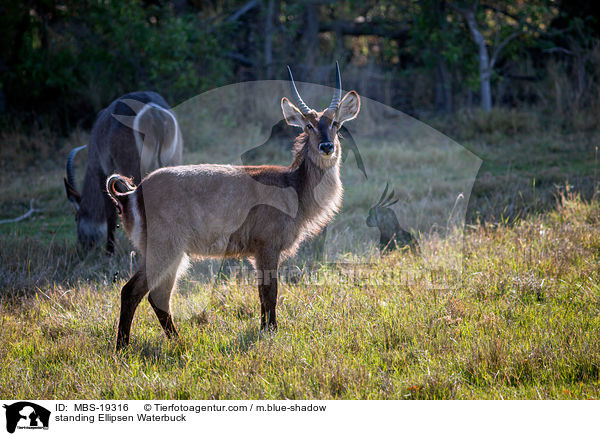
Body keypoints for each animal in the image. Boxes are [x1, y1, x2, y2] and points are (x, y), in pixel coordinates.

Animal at [64, 93, 183, 255]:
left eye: (76, 217)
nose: (82, 247)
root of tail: (152, 110)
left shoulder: (101, 171)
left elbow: (111, 212)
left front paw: (109, 251)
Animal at [108, 63, 360, 350]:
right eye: (308, 126)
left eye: (336, 123)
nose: (327, 146)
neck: (294, 186)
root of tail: (133, 193)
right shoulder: (267, 245)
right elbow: (270, 292)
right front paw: (272, 332)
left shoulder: (258, 252)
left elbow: (261, 293)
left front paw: (264, 329)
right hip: (164, 247)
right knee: (133, 290)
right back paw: (123, 346)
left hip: (172, 251)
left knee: (158, 295)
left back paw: (177, 341)